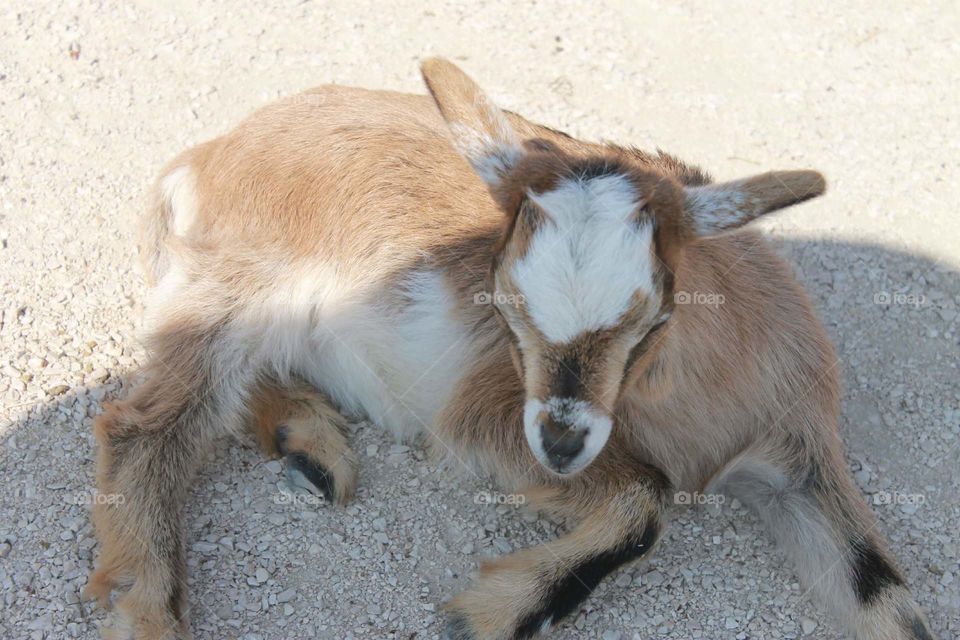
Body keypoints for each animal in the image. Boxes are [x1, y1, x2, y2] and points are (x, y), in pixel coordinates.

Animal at [86, 58, 936, 640]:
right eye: (507, 300)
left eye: (650, 316)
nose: (559, 443)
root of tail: (206, 154)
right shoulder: (487, 415)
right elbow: (646, 500)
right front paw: (490, 615)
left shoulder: (801, 461)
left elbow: (886, 598)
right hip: (236, 286)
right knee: (145, 424)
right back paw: (150, 609)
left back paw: (310, 446)